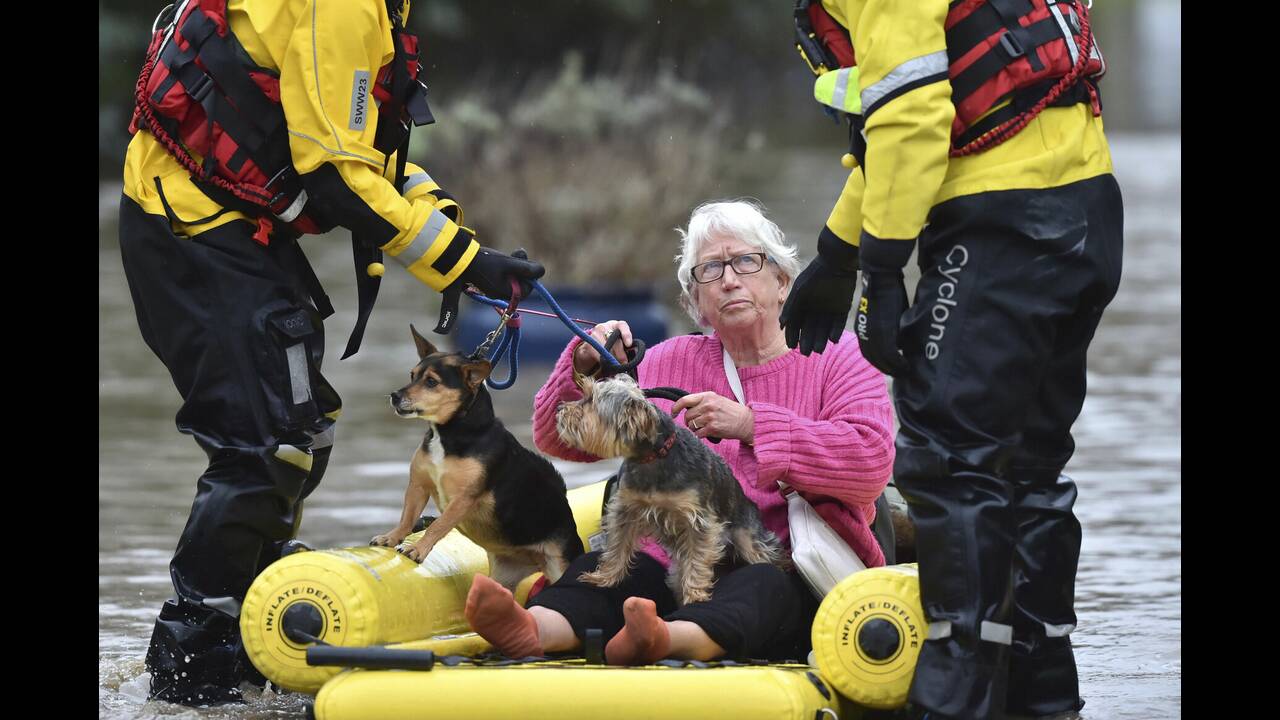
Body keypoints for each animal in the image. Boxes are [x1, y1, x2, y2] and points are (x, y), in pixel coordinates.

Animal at [371, 325, 586, 589]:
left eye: (431, 382)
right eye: (412, 376)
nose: (394, 395)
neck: (451, 433)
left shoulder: (463, 498)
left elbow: (438, 526)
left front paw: (418, 549)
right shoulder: (418, 485)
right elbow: (407, 517)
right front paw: (391, 538)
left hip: (558, 566)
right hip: (501, 578)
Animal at [555, 371, 783, 602]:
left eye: (591, 401)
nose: (559, 409)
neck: (652, 458)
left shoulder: (699, 520)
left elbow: (697, 558)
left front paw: (695, 595)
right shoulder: (626, 509)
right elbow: (618, 544)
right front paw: (604, 577)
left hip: (748, 538)